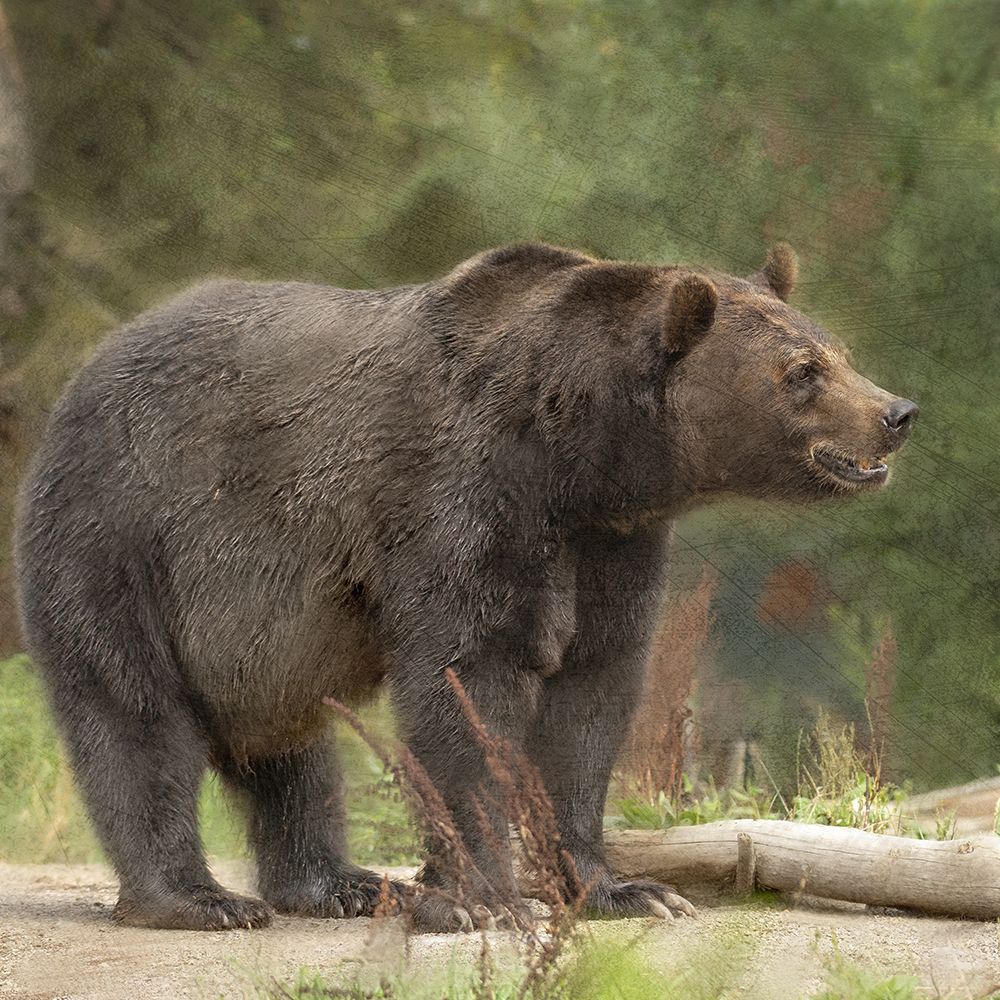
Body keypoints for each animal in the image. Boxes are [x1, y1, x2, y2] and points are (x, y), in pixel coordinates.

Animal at [14, 242, 917, 932]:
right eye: (801, 371)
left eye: (838, 349)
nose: (897, 412)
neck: (578, 455)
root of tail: (78, 380)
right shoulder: (461, 498)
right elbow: (466, 685)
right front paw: (483, 900)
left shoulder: (611, 543)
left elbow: (592, 695)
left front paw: (627, 890)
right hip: (120, 536)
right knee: (134, 717)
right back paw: (199, 901)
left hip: (257, 636)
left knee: (292, 749)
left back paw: (341, 883)